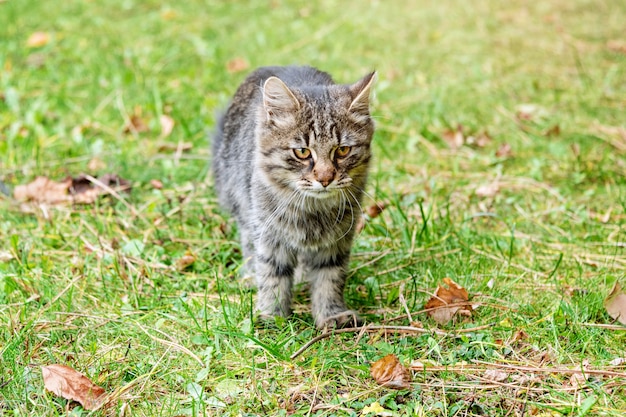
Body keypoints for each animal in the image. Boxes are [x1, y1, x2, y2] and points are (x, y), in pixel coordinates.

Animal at [212, 66, 372, 328]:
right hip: (241, 203)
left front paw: (331, 314)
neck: (312, 212)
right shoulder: (269, 235)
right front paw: (272, 316)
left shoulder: (337, 241)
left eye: (342, 150)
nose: (325, 178)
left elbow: (329, 279)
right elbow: (272, 275)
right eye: (303, 152)